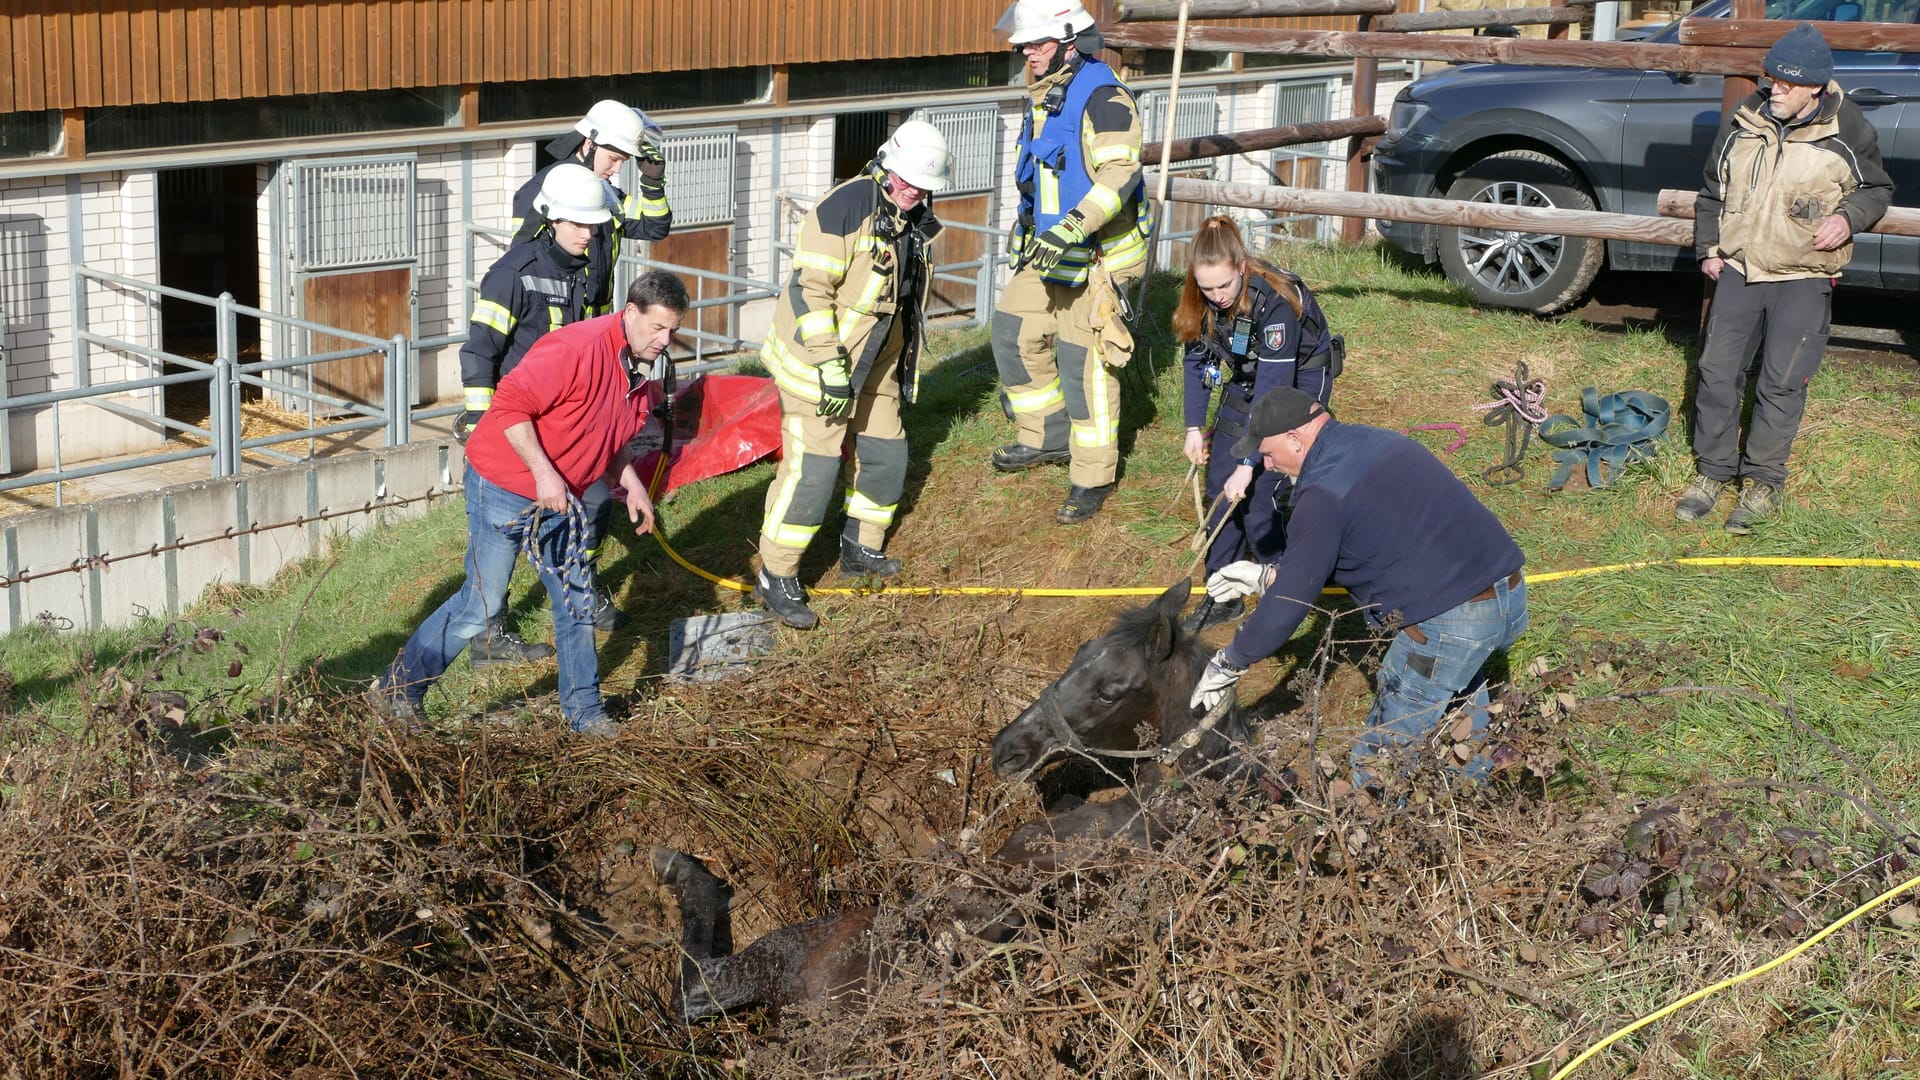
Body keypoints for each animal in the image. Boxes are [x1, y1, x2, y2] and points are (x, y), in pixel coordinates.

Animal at [648, 576, 1244, 1014]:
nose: (1006, 748)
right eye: (1079, 653)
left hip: (806, 940)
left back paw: (678, 865)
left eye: (1109, 693)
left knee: (696, 985)